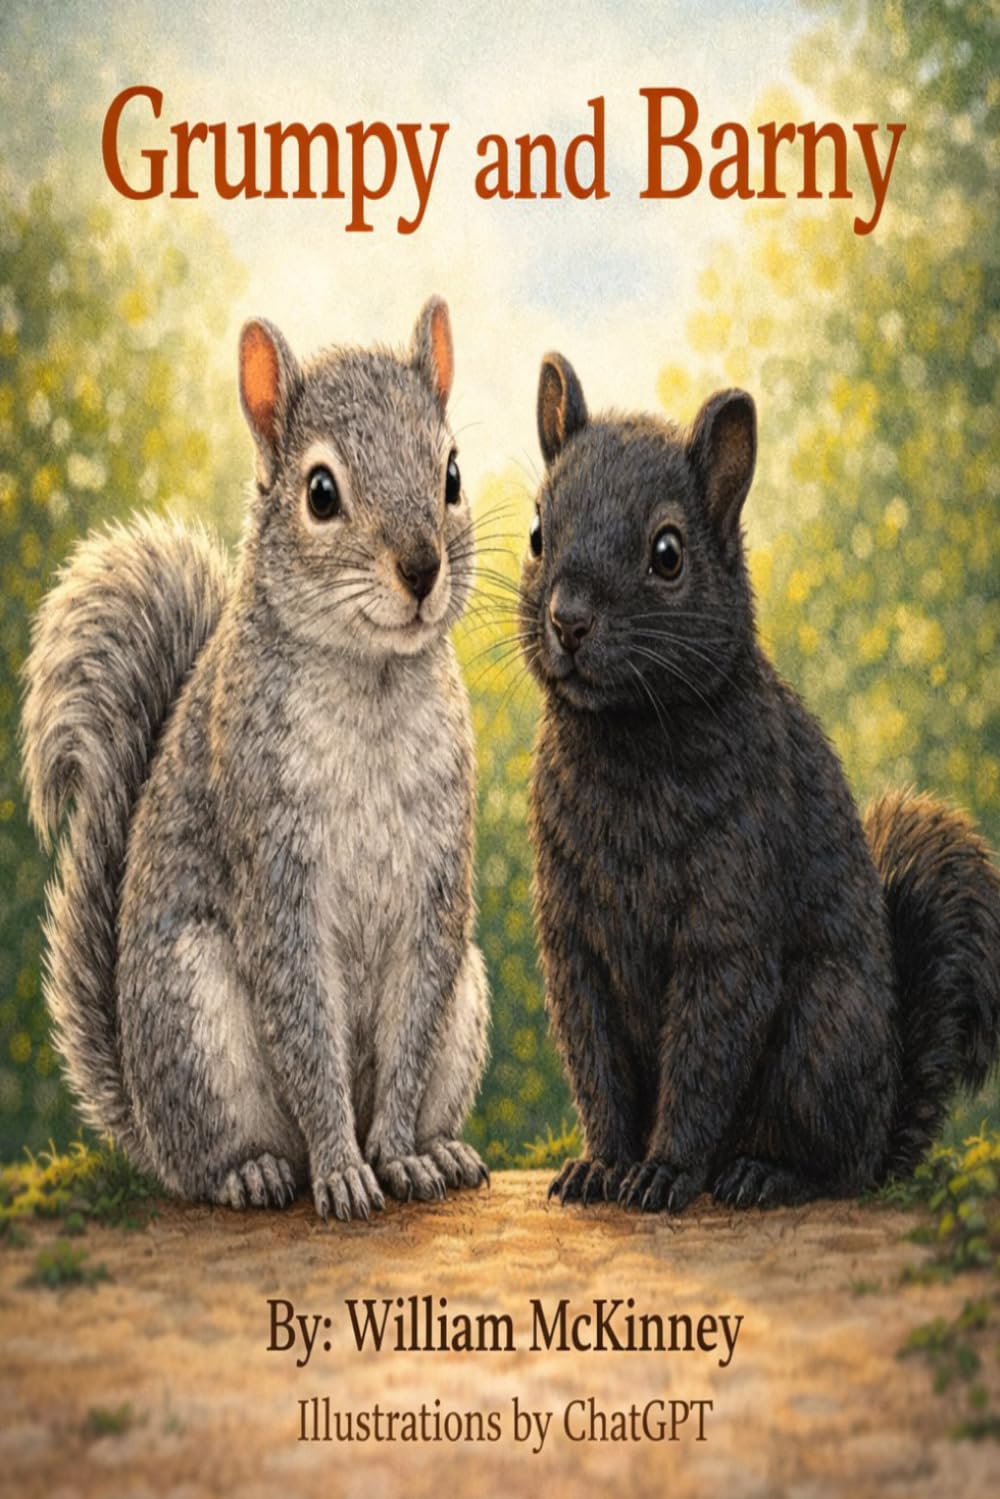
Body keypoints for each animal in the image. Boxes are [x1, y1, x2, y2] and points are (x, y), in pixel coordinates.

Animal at [21, 296, 490, 1221]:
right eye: (321, 492)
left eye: (452, 474)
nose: (422, 566)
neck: (372, 686)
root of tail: (143, 1116)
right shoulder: (274, 864)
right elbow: (305, 1032)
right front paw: (345, 1169)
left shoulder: (437, 878)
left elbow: (411, 1029)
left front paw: (395, 1155)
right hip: (191, 1017)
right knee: (206, 1158)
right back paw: (260, 1172)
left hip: (469, 997)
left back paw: (440, 1149)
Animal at [520, 352, 1000, 1212]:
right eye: (539, 531)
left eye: (667, 553)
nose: (567, 620)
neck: (624, 741)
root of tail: (884, 1118)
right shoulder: (573, 939)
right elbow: (596, 1062)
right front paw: (602, 1164)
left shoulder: (731, 913)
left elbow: (705, 1054)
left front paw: (664, 1171)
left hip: (822, 1034)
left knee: (834, 1163)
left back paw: (761, 1172)